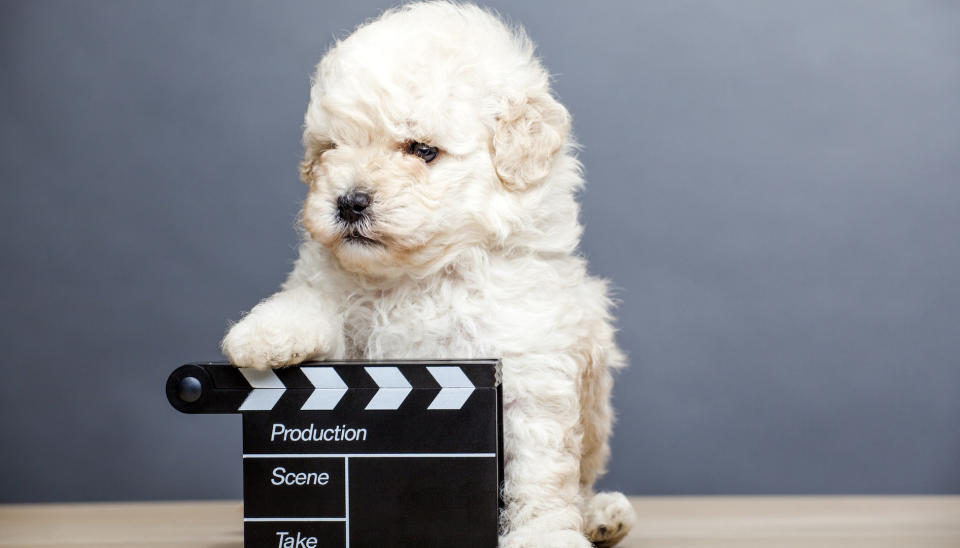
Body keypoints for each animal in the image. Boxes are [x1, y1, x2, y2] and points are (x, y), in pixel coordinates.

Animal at [221, 2, 632, 544]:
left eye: (422, 149)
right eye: (330, 148)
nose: (348, 202)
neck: (422, 275)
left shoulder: (528, 366)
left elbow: (540, 471)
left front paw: (544, 535)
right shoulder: (349, 343)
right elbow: (312, 304)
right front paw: (262, 334)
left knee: (582, 489)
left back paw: (603, 516)